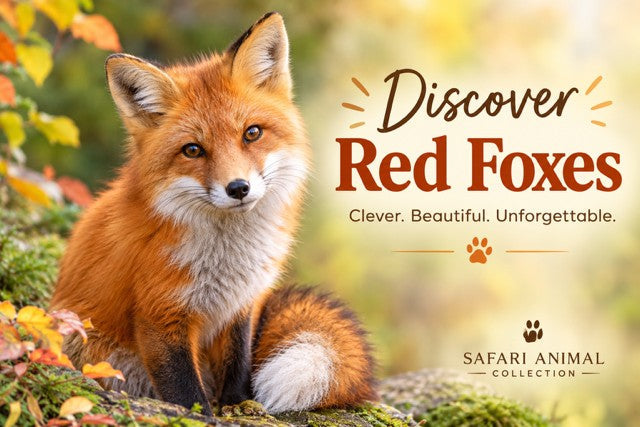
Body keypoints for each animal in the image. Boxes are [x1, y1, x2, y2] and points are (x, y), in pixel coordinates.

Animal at [50, 12, 376, 415]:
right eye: (193, 150)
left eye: (252, 133)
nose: (238, 188)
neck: (227, 260)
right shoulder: (160, 319)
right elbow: (185, 393)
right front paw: (203, 416)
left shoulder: (243, 306)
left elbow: (238, 364)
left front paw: (237, 405)